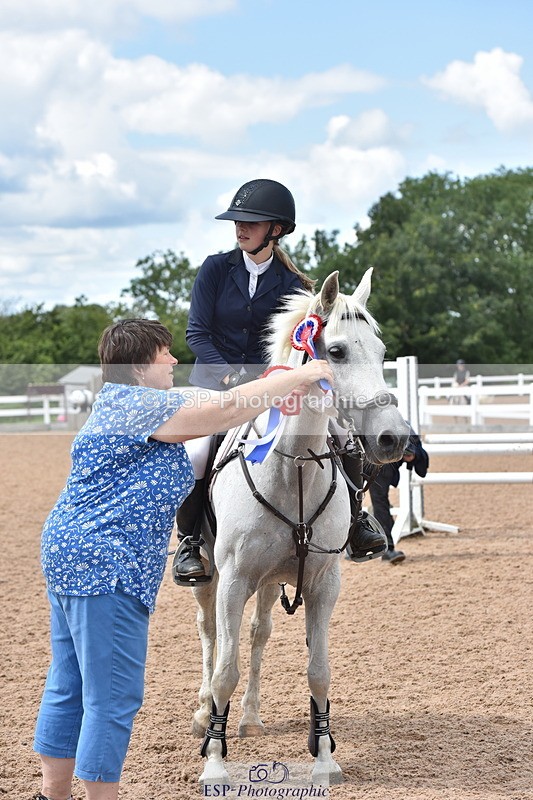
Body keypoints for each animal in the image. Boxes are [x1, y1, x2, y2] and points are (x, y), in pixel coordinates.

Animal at [189, 268, 410, 787]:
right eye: (337, 351)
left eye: (381, 351)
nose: (393, 438)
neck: (292, 469)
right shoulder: (233, 580)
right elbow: (225, 667)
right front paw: (215, 763)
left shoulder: (322, 582)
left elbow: (318, 670)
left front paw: (325, 758)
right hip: (210, 577)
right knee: (211, 634)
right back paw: (205, 712)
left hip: (272, 582)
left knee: (258, 633)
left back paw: (249, 717)